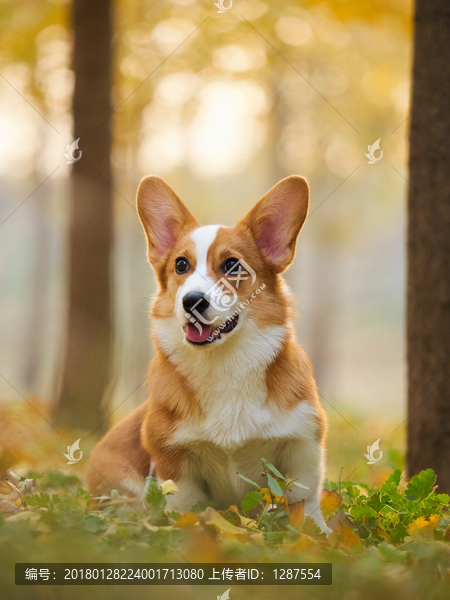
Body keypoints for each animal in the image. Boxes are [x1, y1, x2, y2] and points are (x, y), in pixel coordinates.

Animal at [87, 176, 330, 532]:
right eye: (181, 265)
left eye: (232, 265)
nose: (192, 301)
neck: (223, 363)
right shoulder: (174, 459)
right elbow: (185, 506)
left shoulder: (302, 444)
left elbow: (305, 501)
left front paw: (317, 534)